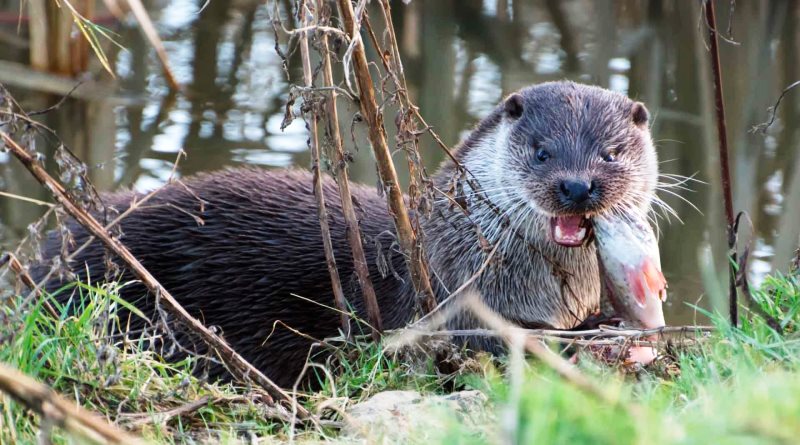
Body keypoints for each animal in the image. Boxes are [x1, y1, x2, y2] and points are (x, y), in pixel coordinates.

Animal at [32, 81, 656, 386]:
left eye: (610, 152)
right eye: (542, 151)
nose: (577, 185)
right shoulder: (452, 297)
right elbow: (499, 339)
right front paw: (594, 330)